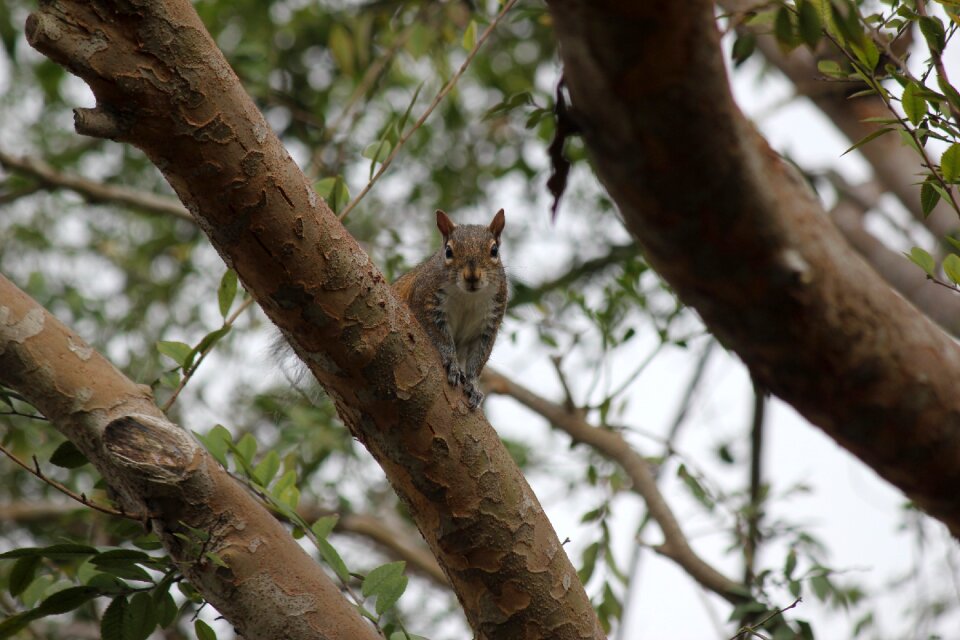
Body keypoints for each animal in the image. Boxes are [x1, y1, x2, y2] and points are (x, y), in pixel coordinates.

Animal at [392, 210, 510, 410]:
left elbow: (478, 358)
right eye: (448, 251)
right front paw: (453, 364)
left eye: (494, 250)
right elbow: (440, 337)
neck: (468, 296)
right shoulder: (425, 304)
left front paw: (473, 385)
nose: (472, 276)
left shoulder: (489, 324)